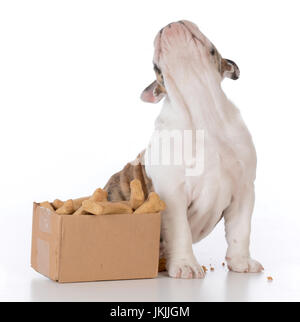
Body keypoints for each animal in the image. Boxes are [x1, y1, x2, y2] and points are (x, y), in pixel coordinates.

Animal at [105, 20, 262, 278]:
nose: (171, 22)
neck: (199, 104)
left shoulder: (244, 191)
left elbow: (241, 230)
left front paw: (241, 262)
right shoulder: (172, 195)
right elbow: (180, 232)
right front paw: (185, 265)